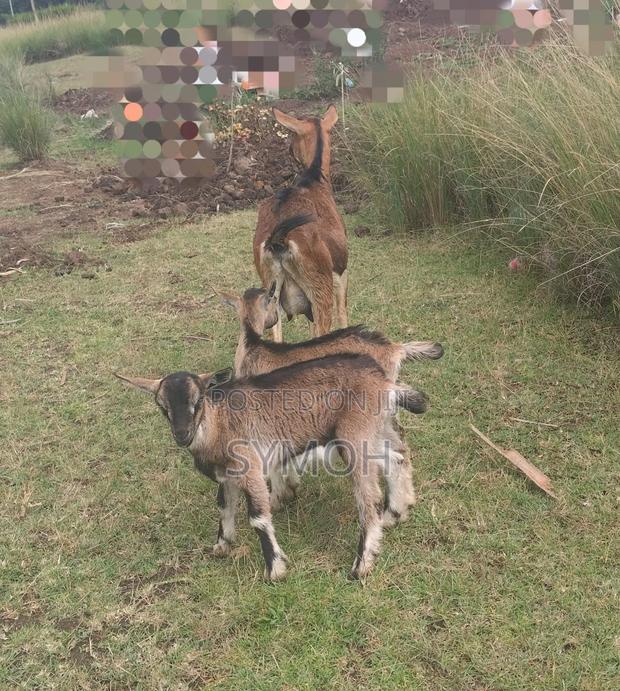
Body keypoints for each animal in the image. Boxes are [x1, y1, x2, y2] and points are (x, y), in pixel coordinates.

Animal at [116, 354, 428, 581]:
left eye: (199, 399)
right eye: (162, 406)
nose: (182, 435)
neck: (219, 423)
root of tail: (384, 383)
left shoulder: (250, 467)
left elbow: (257, 518)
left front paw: (275, 570)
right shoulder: (227, 476)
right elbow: (224, 507)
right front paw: (221, 546)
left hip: (354, 438)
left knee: (368, 498)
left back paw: (361, 564)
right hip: (376, 431)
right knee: (397, 458)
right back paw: (395, 514)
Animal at [253, 105, 348, 341]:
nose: (289, 150)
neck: (314, 178)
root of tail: (279, 239)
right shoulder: (341, 273)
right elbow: (343, 315)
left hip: (270, 290)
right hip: (320, 290)